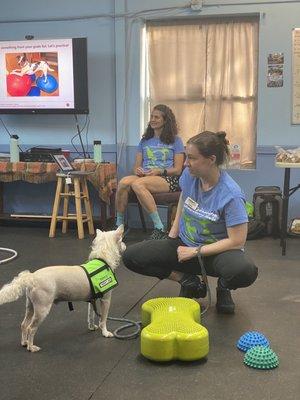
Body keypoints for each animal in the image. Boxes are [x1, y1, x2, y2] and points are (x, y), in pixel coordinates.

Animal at [0, 225, 125, 354]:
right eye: (121, 240)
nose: (125, 245)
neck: (102, 259)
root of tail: (31, 277)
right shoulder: (106, 300)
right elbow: (103, 319)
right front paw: (105, 332)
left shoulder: (92, 301)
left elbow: (91, 316)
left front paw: (91, 327)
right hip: (42, 309)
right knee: (31, 328)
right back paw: (31, 347)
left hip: (30, 307)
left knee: (24, 325)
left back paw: (24, 342)